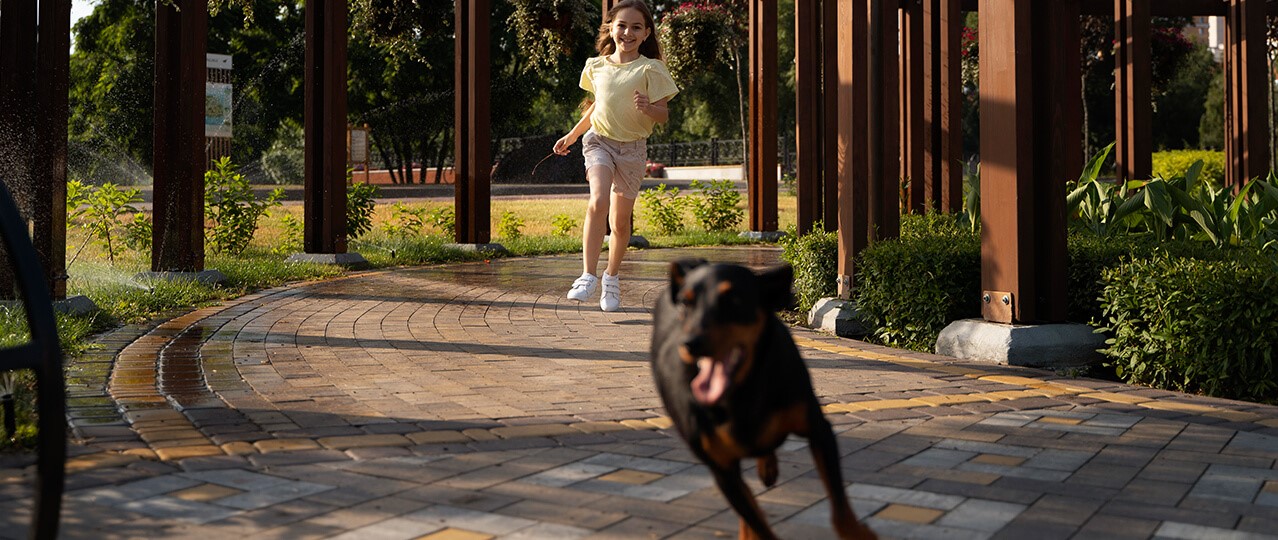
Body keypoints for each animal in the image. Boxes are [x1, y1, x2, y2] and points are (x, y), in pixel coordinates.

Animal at [649, 260, 879, 538]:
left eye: (734, 300)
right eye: (685, 302)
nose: (691, 343)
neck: (742, 392)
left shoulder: (819, 430)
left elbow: (841, 509)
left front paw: (860, 534)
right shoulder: (722, 471)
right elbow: (759, 526)